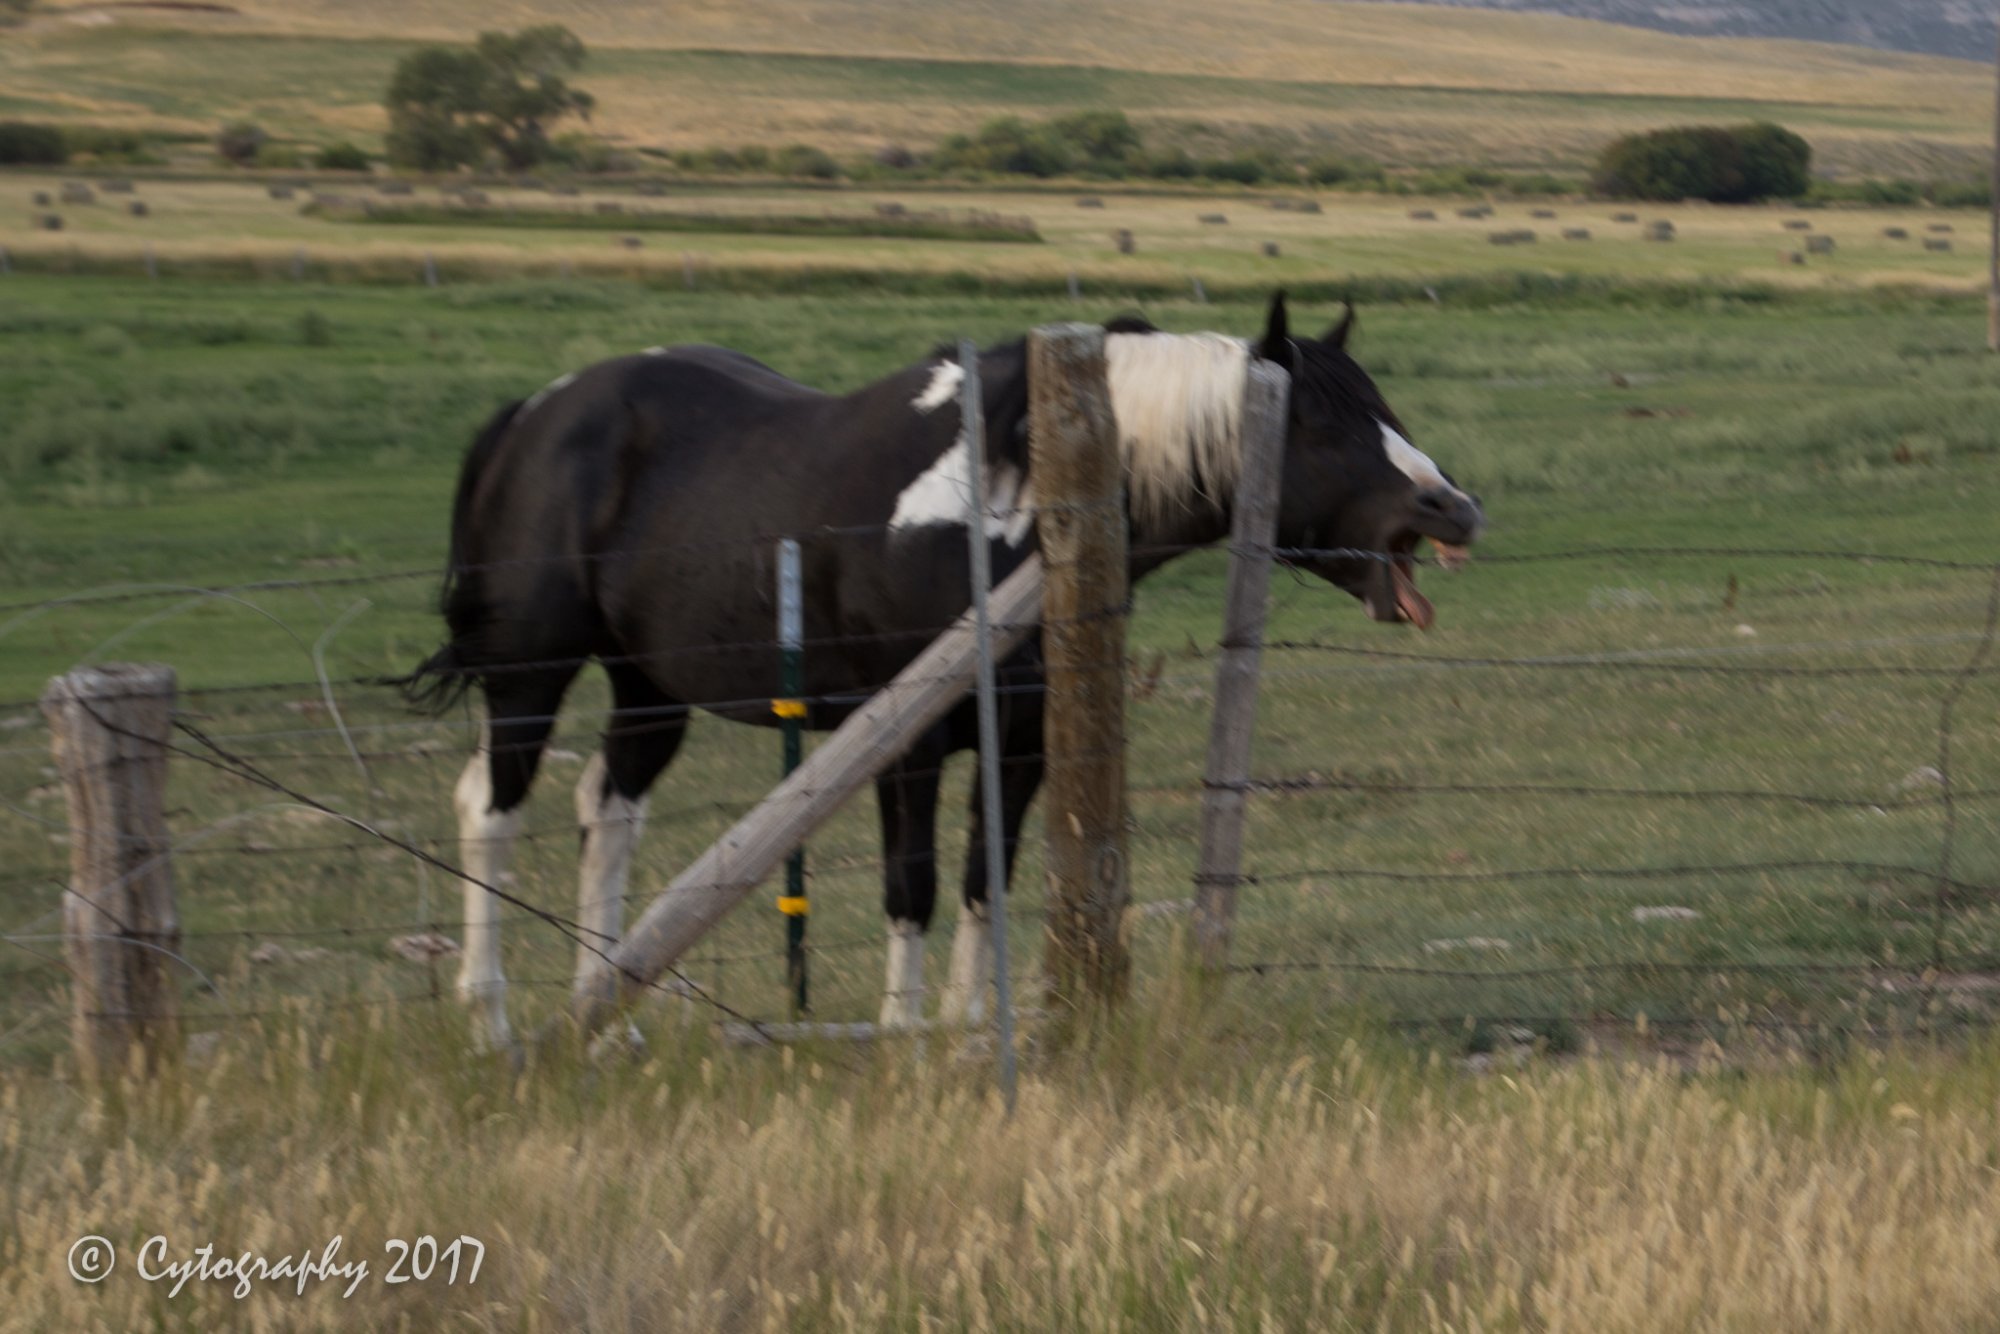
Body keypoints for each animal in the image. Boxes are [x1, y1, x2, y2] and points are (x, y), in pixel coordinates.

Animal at [398, 298, 1488, 1048]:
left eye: (1380, 406)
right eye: (1319, 425)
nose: (1454, 507)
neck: (1002, 507)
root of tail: (532, 416)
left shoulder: (1022, 745)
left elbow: (981, 886)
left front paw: (970, 1030)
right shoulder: (906, 745)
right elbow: (911, 888)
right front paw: (904, 1034)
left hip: (651, 687)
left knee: (606, 811)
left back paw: (607, 1011)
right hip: (530, 673)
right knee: (489, 808)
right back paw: (491, 1018)